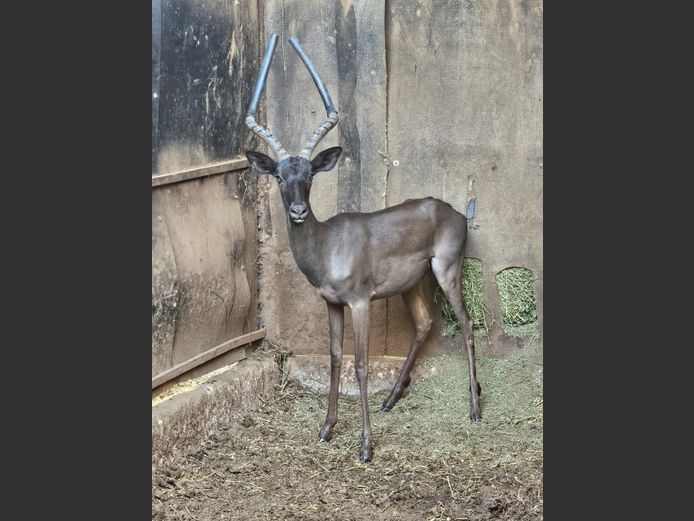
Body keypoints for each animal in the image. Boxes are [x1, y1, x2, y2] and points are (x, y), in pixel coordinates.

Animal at [245, 34, 481, 462]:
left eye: (309, 175)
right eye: (279, 176)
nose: (298, 211)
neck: (327, 248)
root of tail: (454, 212)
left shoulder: (359, 301)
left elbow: (361, 366)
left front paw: (366, 446)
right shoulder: (332, 303)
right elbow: (335, 359)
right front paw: (326, 430)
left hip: (447, 270)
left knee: (468, 324)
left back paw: (474, 409)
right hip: (413, 284)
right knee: (425, 323)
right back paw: (390, 400)